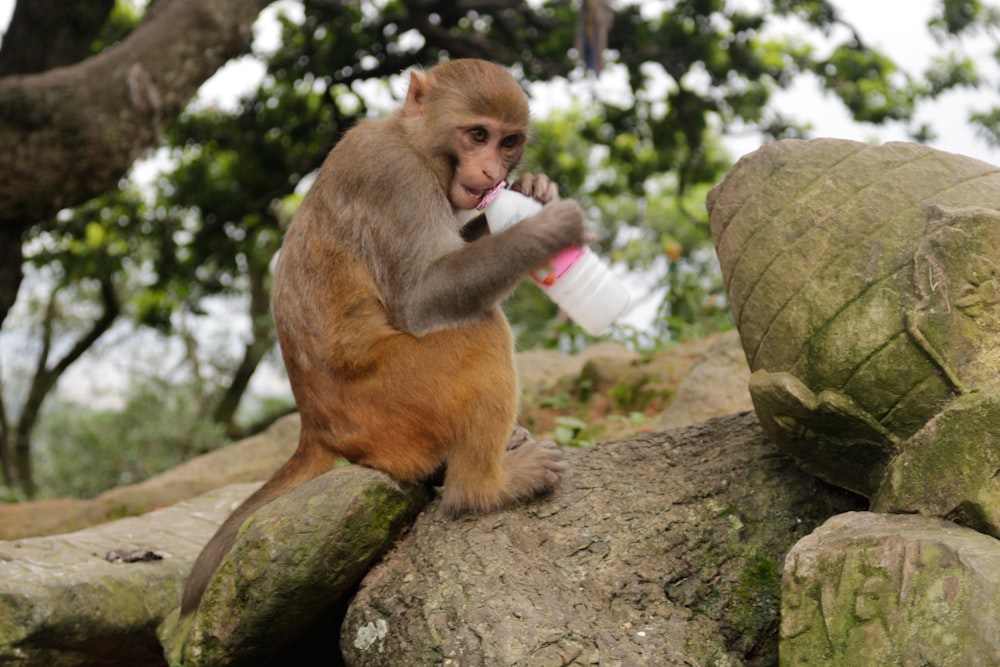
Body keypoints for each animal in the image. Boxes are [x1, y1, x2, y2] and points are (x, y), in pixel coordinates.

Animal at [181, 58, 588, 616]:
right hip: (396, 399)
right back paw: (482, 488)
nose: (494, 172)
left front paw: (536, 190)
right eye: (477, 134)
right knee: (481, 327)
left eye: (508, 141)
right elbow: (422, 295)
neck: (415, 142)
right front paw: (549, 228)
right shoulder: (394, 175)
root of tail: (317, 427)